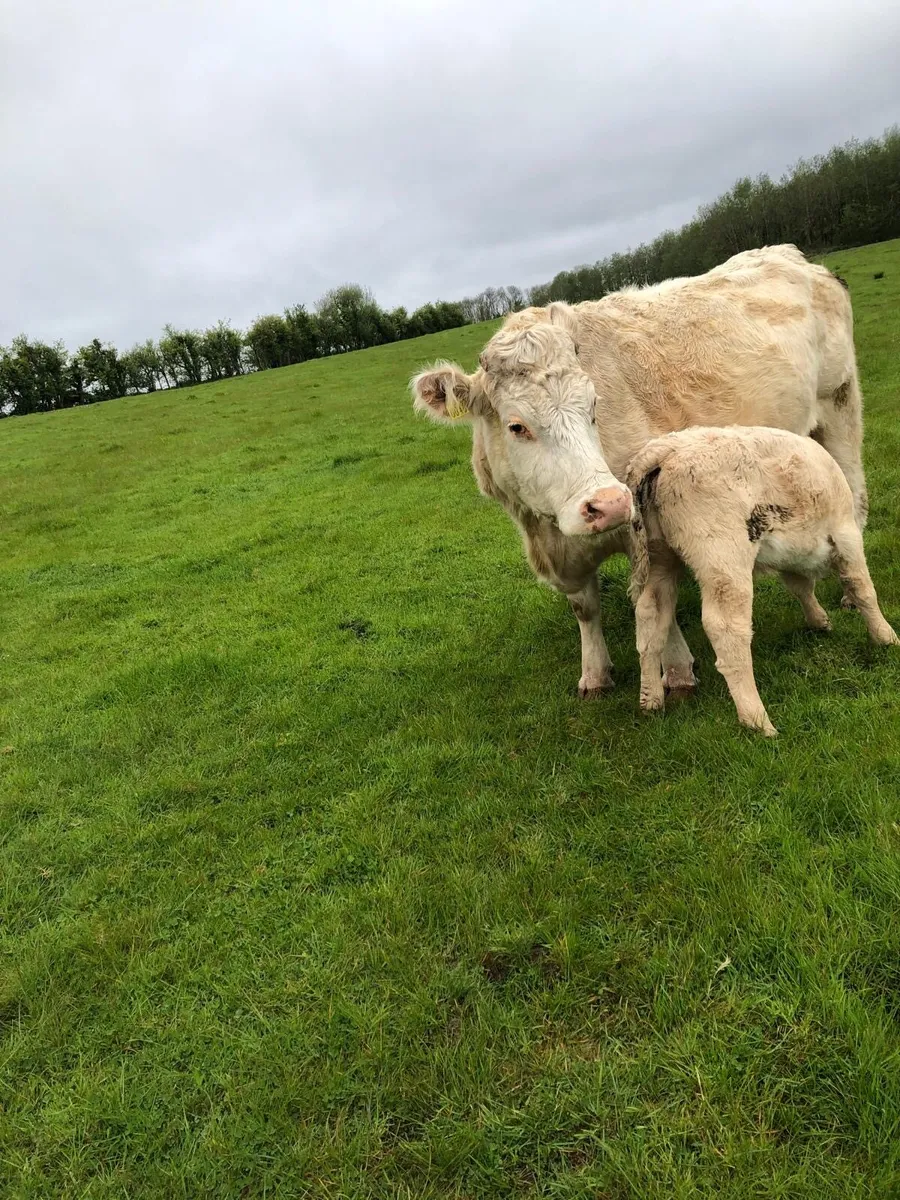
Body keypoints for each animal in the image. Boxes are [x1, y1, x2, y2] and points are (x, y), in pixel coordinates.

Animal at [411, 246, 867, 698]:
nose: (609, 504)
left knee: (855, 500)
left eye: (594, 408)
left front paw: (677, 670)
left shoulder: (644, 527)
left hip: (840, 409)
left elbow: (654, 600)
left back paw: (851, 591)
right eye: (516, 426)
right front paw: (595, 673)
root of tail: (789, 254)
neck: (548, 535)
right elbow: (585, 608)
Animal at [626, 425, 897, 736]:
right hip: (723, 557)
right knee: (726, 629)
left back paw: (651, 700)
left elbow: (801, 587)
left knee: (650, 615)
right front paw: (886, 637)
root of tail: (665, 449)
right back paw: (757, 721)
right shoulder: (846, 535)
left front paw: (818, 620)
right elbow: (862, 588)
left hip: (659, 556)